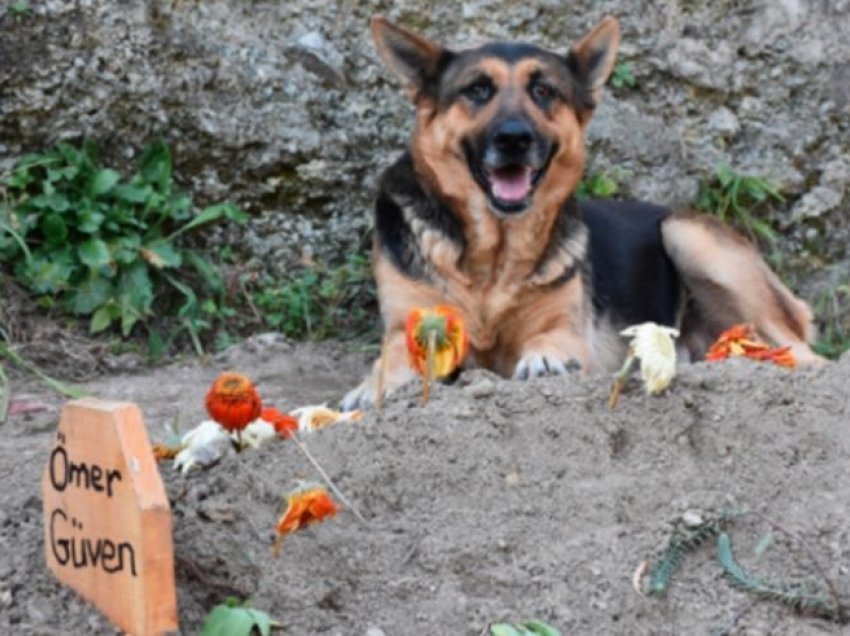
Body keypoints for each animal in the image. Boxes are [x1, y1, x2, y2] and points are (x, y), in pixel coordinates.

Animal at [340, 16, 820, 412]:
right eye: (477, 90)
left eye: (543, 91)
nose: (514, 139)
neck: (493, 256)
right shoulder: (409, 328)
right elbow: (393, 358)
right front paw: (372, 387)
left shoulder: (566, 329)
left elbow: (551, 340)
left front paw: (545, 359)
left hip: (686, 233)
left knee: (807, 356)